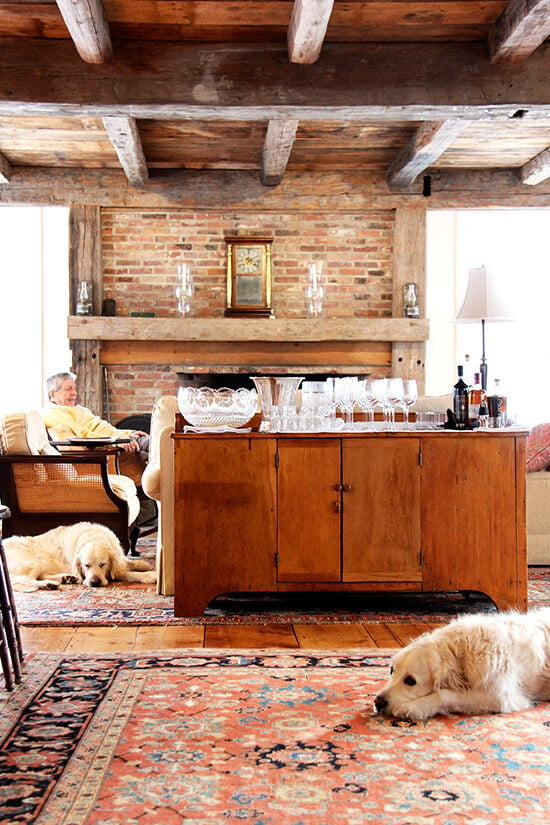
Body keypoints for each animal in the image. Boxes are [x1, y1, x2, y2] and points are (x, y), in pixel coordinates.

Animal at [4, 520, 156, 592]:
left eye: (102, 564)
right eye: (86, 565)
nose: (95, 582)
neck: (94, 537)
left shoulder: (118, 559)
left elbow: (135, 563)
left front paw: (147, 566)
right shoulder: (116, 572)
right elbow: (128, 573)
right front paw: (149, 576)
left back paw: (64, 579)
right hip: (32, 563)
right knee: (23, 580)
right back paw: (48, 584)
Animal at [374, 608, 550, 716]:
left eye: (410, 681)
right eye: (392, 670)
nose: (377, 702)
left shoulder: (502, 697)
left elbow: (446, 695)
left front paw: (414, 707)